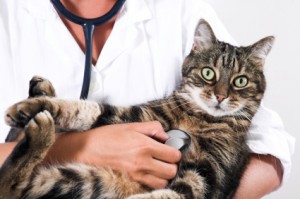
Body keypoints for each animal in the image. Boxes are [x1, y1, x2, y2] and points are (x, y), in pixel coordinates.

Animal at [0, 19, 274, 199]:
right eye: (208, 73)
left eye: (240, 81)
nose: (220, 96)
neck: (197, 120)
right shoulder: (139, 117)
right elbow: (83, 109)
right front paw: (31, 107)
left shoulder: (207, 178)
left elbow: (167, 195)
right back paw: (40, 100)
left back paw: (40, 128)